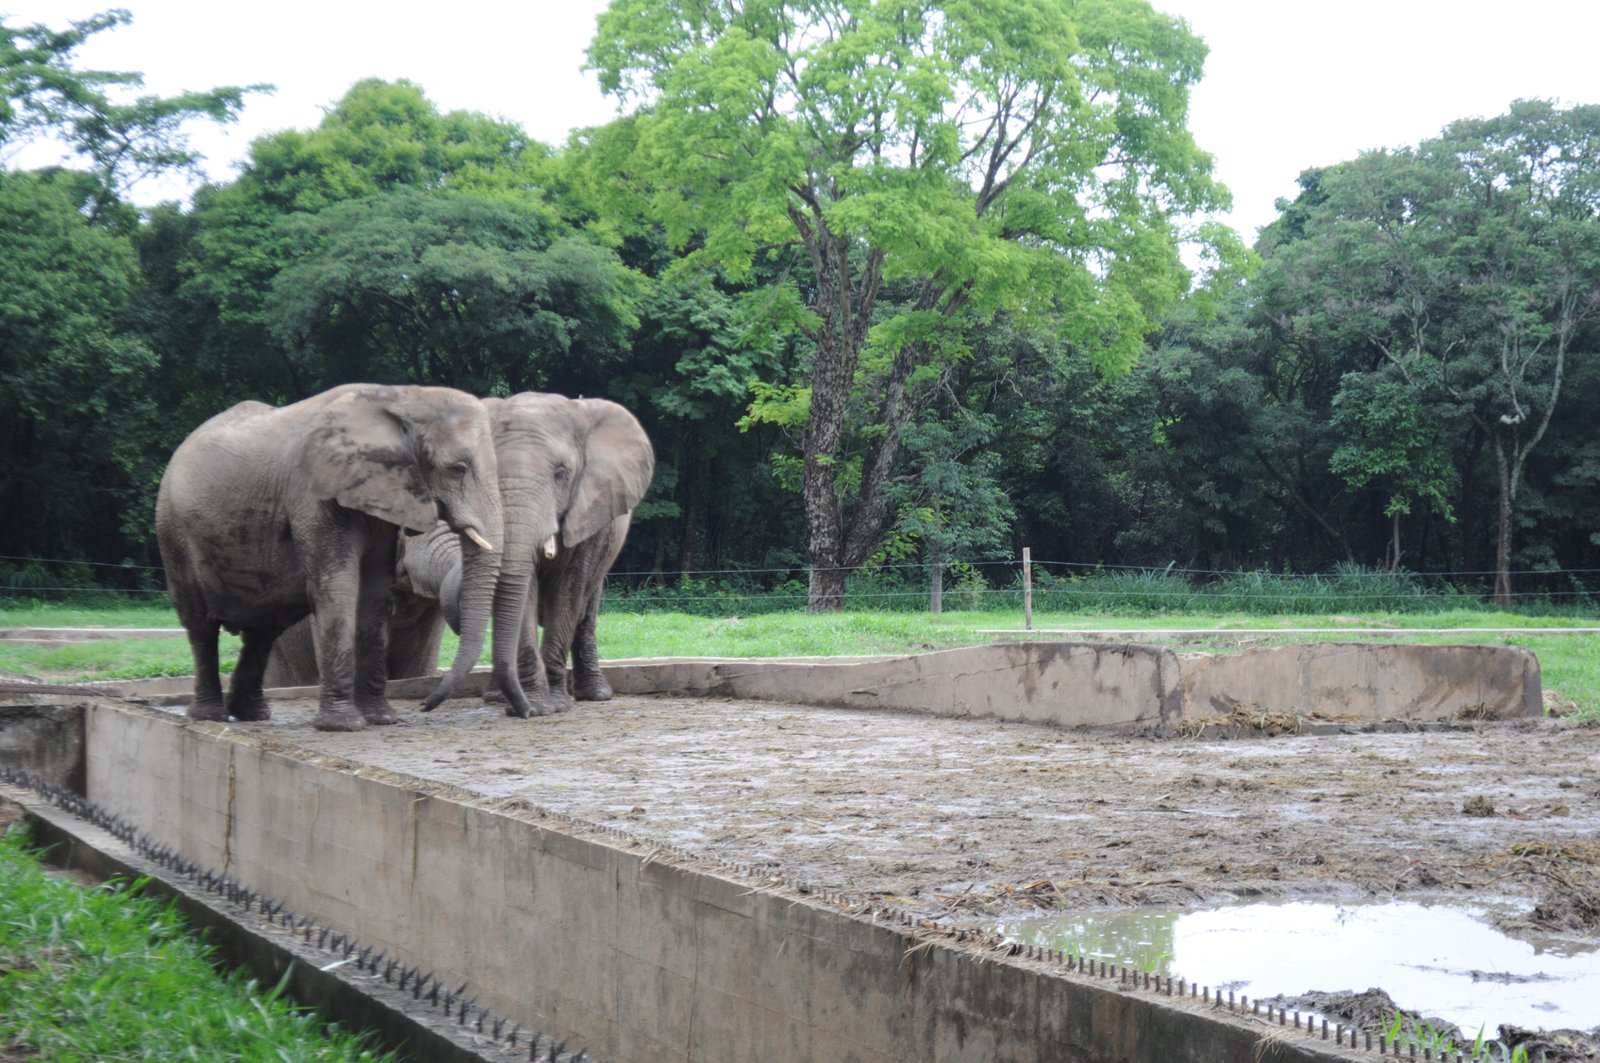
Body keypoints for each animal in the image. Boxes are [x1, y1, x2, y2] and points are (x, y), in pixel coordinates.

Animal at [155, 382, 505, 730]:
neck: (401, 397)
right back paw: (210, 715)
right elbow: (339, 587)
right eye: (457, 469)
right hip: (174, 533)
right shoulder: (314, 496)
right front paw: (343, 725)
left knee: (263, 628)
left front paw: (382, 719)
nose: (423, 706)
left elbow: (375, 594)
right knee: (201, 625)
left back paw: (252, 714)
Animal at [262, 390, 649, 714]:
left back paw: (593, 696)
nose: (423, 707)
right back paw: (498, 697)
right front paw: (535, 707)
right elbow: (524, 591)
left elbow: (567, 593)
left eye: (562, 474)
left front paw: (551, 706)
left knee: (585, 608)